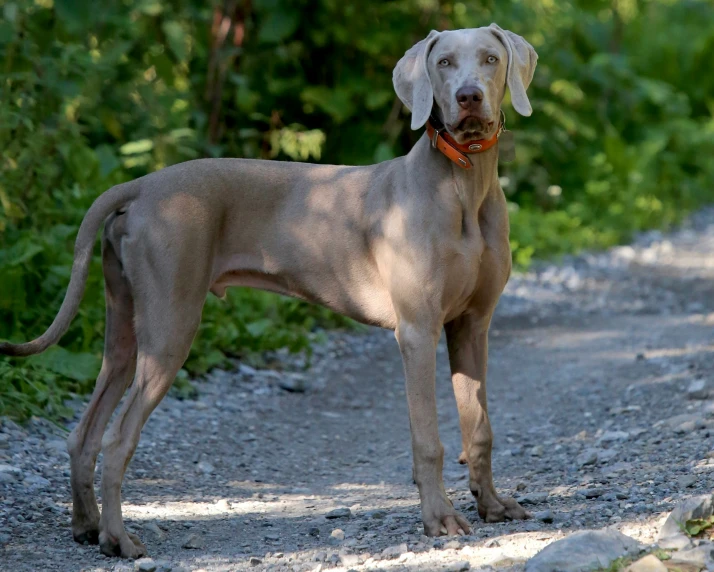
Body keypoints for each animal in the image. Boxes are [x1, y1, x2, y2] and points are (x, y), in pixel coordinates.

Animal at [1, 23, 536, 560]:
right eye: (443, 63)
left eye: (489, 59)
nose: (469, 97)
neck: (464, 185)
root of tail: (141, 185)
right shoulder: (417, 331)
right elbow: (428, 438)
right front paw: (439, 518)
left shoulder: (471, 326)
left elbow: (480, 427)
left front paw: (492, 505)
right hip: (171, 327)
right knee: (116, 439)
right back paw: (119, 538)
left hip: (125, 332)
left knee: (84, 434)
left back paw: (87, 527)